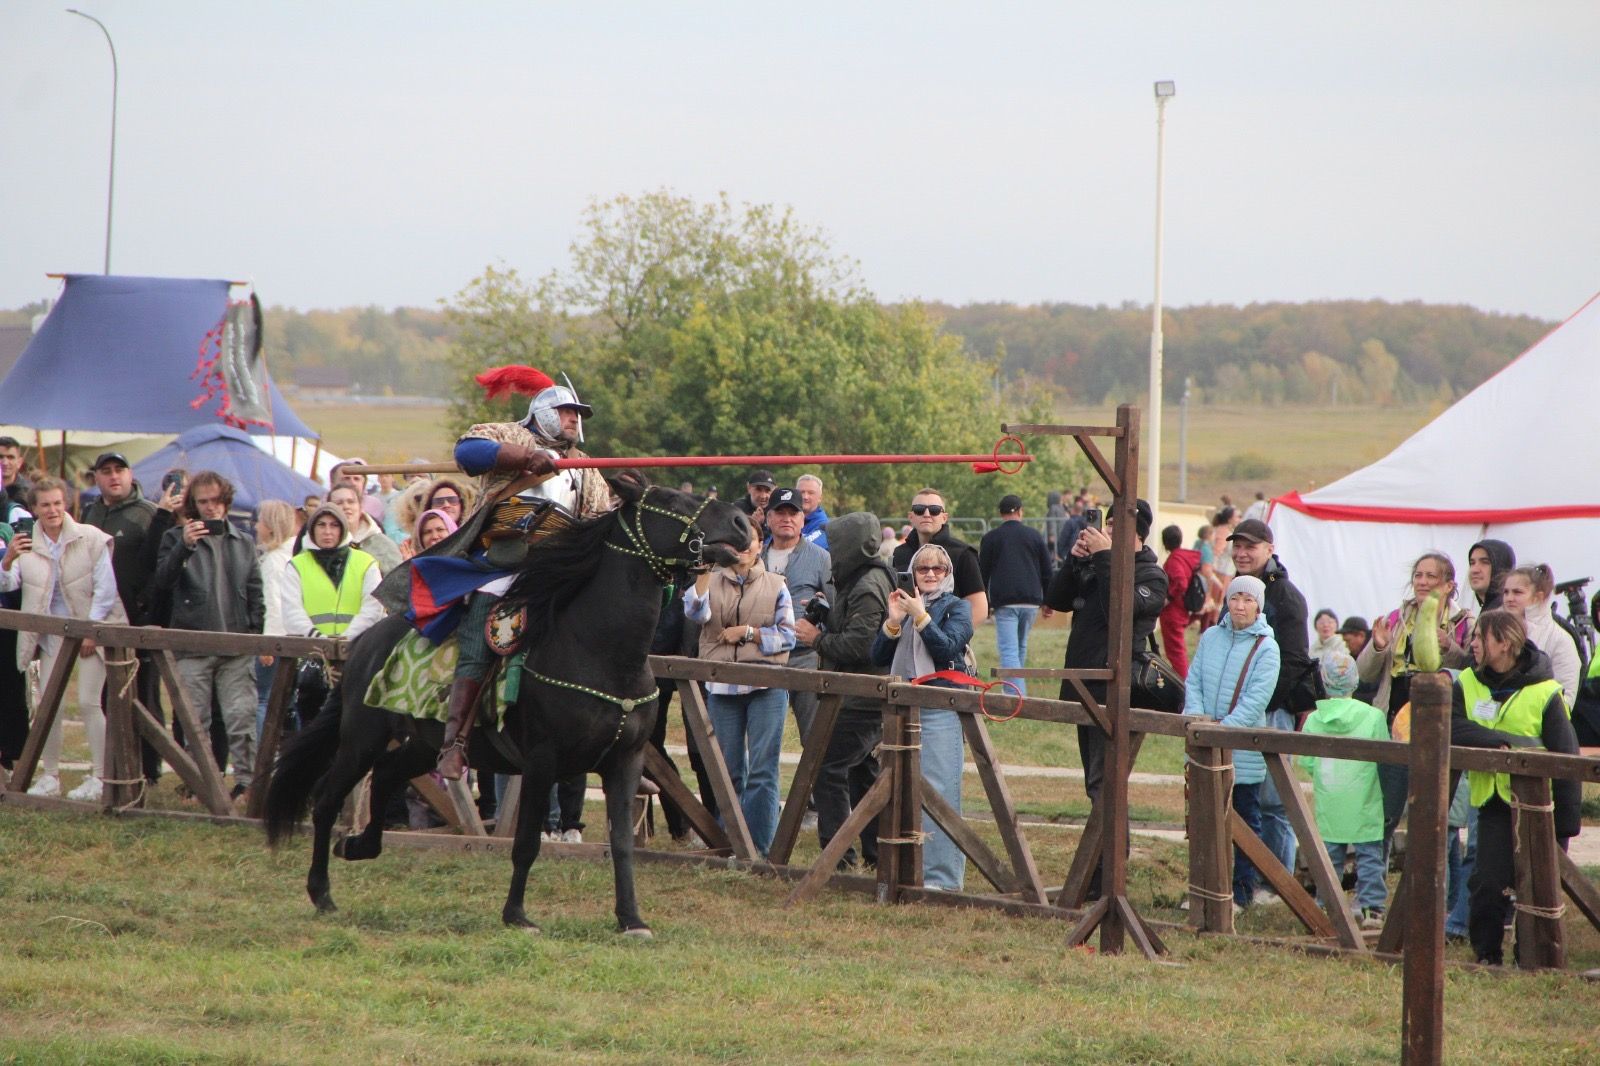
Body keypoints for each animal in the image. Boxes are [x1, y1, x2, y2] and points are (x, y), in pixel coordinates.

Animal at [265, 476, 752, 934]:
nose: (743, 524)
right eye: (670, 499)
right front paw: (517, 915)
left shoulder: (625, 762)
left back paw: (359, 846)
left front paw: (631, 919)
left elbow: (622, 844)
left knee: (385, 774)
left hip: (422, 743)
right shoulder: (541, 761)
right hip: (362, 737)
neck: (598, 650)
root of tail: (365, 641)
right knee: (328, 798)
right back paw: (322, 892)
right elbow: (526, 844)